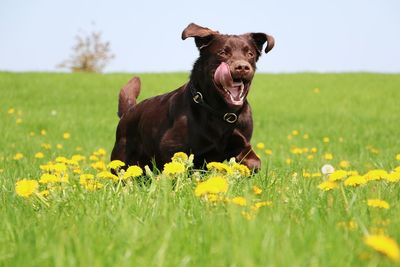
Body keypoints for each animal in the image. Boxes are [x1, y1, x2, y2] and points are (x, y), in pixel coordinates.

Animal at [111, 24, 276, 173]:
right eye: (223, 52)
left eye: (250, 54)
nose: (242, 67)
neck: (219, 112)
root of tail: (128, 112)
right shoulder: (171, 147)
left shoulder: (242, 143)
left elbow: (254, 162)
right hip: (122, 157)